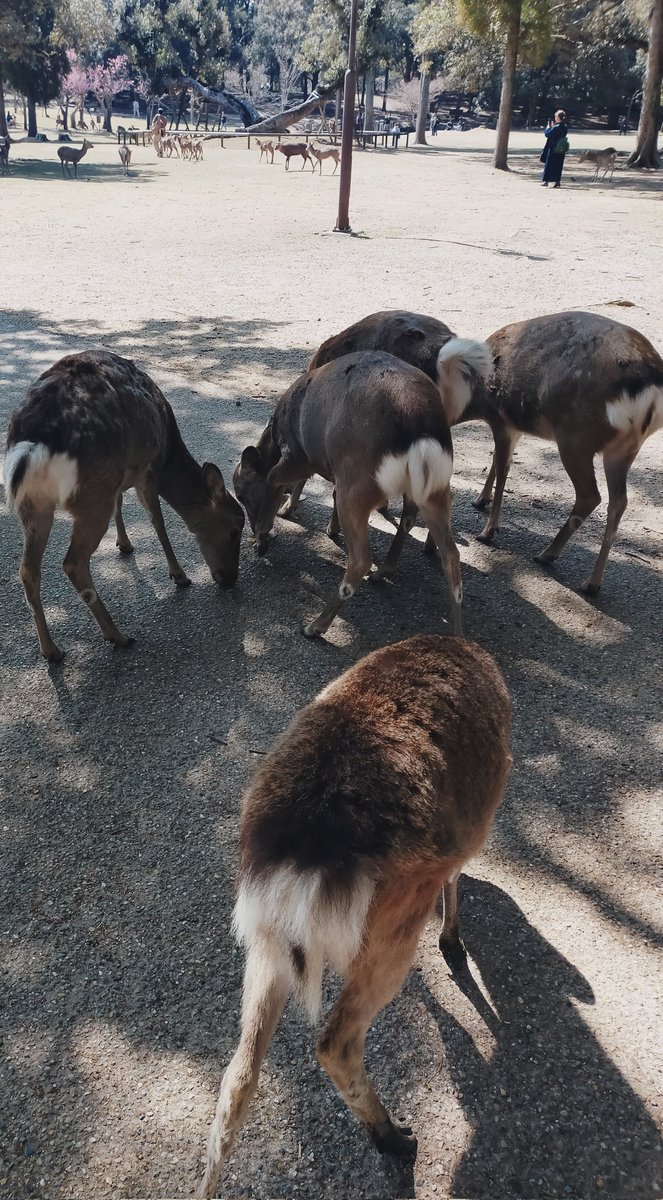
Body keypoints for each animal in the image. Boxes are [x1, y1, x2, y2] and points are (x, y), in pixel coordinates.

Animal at [3, 350, 245, 662]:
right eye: (235, 529)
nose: (230, 579)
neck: (169, 455)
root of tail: (33, 445)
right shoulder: (147, 471)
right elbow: (157, 521)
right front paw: (179, 575)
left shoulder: (119, 480)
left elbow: (120, 504)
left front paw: (125, 544)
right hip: (92, 493)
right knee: (73, 562)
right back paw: (117, 635)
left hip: (35, 504)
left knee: (28, 570)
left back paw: (52, 650)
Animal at [197, 633, 512, 1198]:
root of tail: (302, 859)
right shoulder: (475, 826)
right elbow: (456, 878)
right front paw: (453, 944)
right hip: (389, 923)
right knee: (334, 1040)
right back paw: (395, 1137)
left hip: (265, 940)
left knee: (237, 1076)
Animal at [233, 343, 491, 639]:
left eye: (241, 493)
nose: (254, 532)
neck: (276, 438)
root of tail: (418, 429)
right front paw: (328, 528)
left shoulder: (297, 456)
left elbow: (276, 480)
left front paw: (263, 536)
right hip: (435, 488)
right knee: (449, 553)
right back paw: (456, 634)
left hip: (359, 486)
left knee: (361, 559)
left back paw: (316, 625)